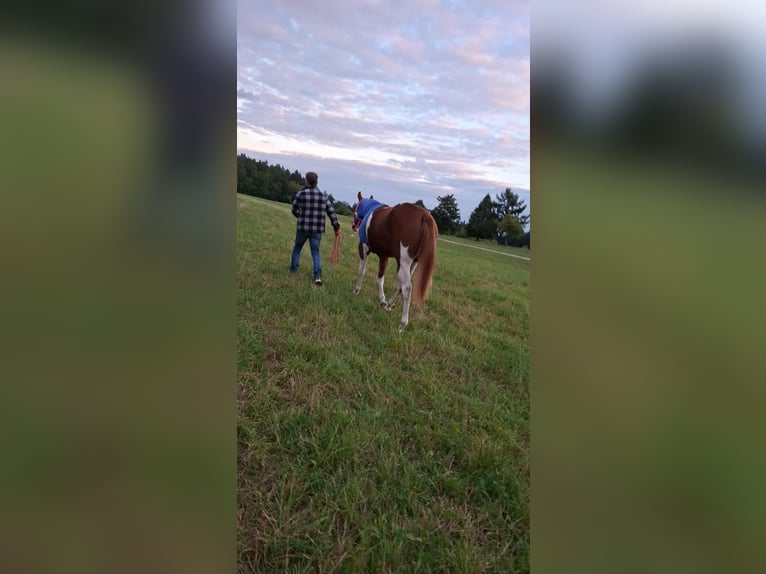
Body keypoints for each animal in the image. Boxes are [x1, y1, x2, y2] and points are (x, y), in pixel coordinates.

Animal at [352, 199, 438, 332]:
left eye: (356, 207)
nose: (353, 226)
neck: (370, 209)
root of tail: (425, 216)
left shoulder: (363, 247)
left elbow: (362, 270)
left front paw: (357, 290)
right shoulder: (384, 256)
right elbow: (380, 278)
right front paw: (383, 300)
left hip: (403, 262)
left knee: (407, 288)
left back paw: (402, 324)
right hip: (413, 263)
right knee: (401, 286)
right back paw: (388, 305)